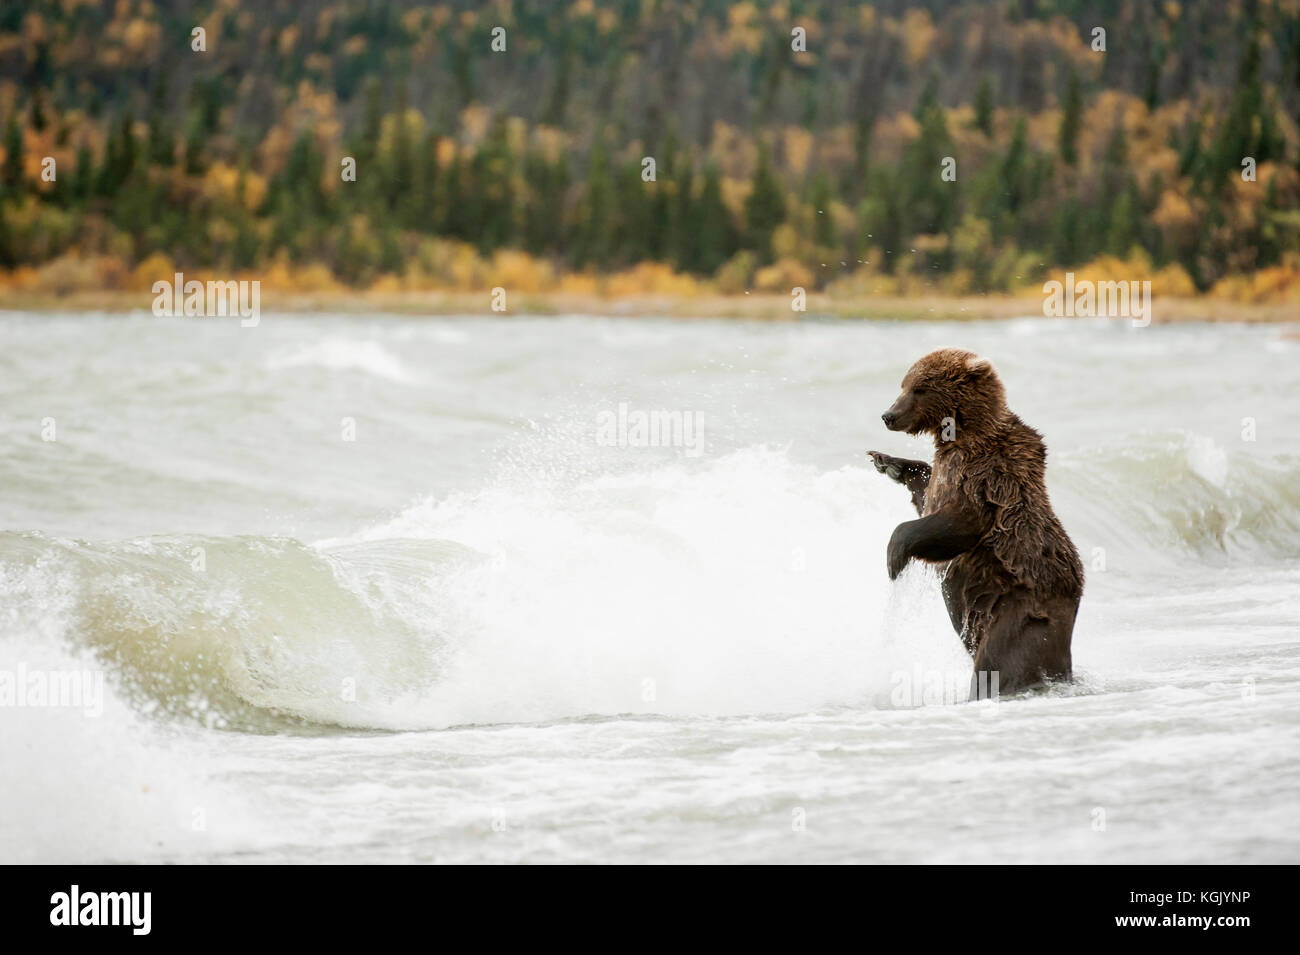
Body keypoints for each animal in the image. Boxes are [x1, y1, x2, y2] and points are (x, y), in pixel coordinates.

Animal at [867, 348, 1084, 697]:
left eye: (920, 388)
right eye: (904, 384)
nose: (889, 415)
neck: (963, 433)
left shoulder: (985, 478)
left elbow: (957, 523)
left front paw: (894, 556)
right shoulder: (950, 468)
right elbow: (927, 496)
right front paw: (891, 463)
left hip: (1018, 612)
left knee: (997, 663)